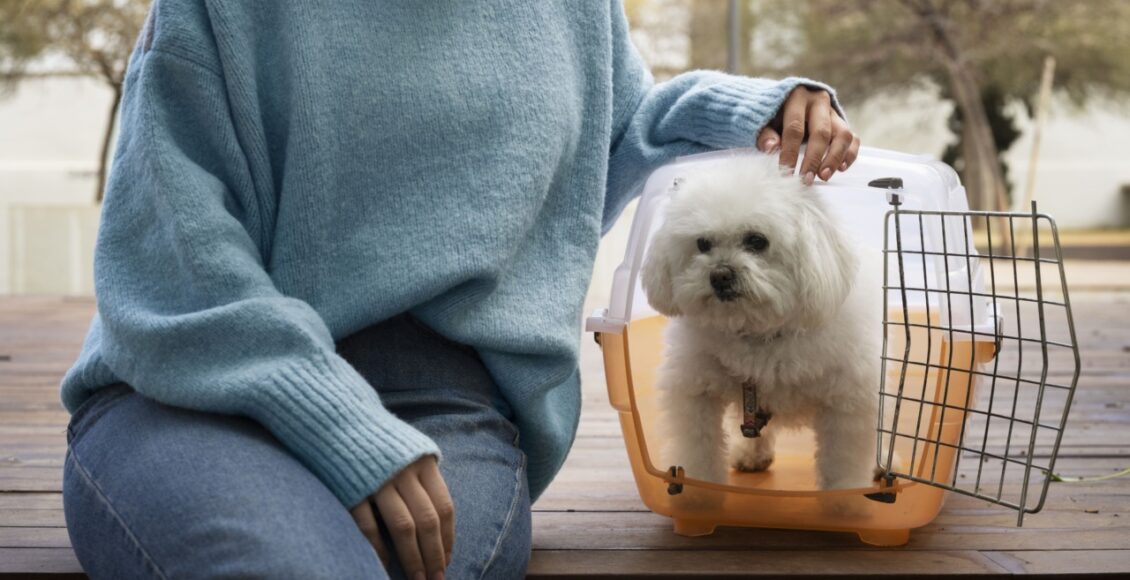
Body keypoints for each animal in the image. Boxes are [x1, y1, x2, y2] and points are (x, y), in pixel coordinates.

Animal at [641, 151, 885, 490]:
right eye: (702, 243)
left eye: (757, 241)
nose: (720, 275)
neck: (758, 333)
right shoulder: (695, 393)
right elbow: (699, 451)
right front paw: (700, 489)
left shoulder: (847, 403)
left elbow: (842, 465)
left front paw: (844, 498)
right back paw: (751, 455)